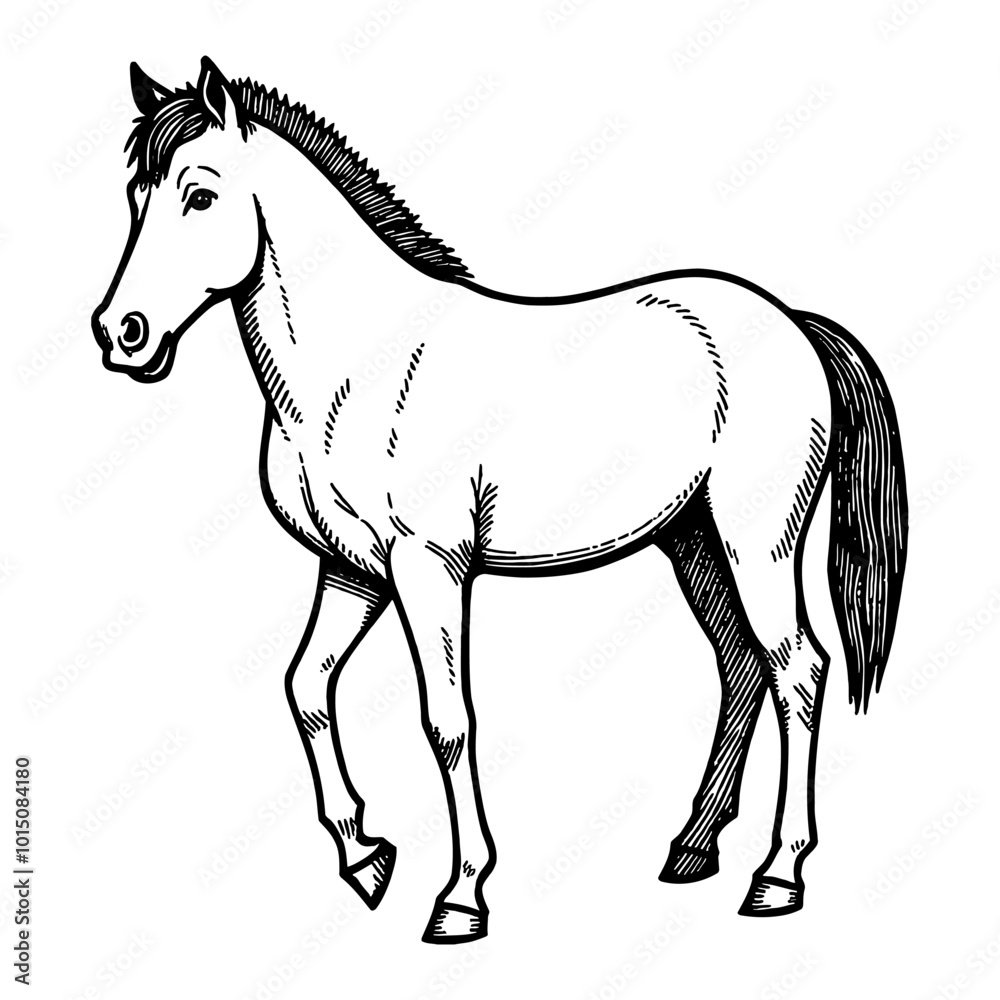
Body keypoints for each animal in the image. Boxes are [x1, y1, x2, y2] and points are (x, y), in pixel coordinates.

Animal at [92, 57, 907, 943]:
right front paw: (365, 857)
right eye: (136, 195)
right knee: (740, 665)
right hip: (691, 537)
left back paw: (777, 876)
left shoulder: (430, 569)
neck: (356, 372)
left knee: (798, 671)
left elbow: (448, 723)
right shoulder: (354, 572)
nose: (121, 334)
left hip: (757, 541)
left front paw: (460, 898)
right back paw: (692, 848)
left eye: (200, 196)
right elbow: (306, 688)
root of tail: (791, 322)